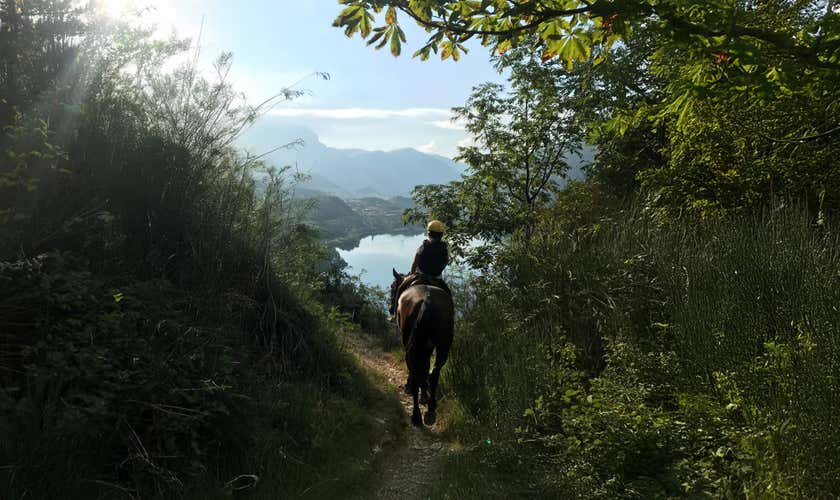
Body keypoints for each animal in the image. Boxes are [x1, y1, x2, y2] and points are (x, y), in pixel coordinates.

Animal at [389, 268, 455, 426]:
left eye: (392, 287)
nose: (389, 309)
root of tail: (427, 300)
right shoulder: (427, 346)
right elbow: (425, 369)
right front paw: (424, 396)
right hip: (443, 344)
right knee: (434, 372)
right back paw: (431, 409)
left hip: (412, 343)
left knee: (415, 370)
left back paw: (416, 415)